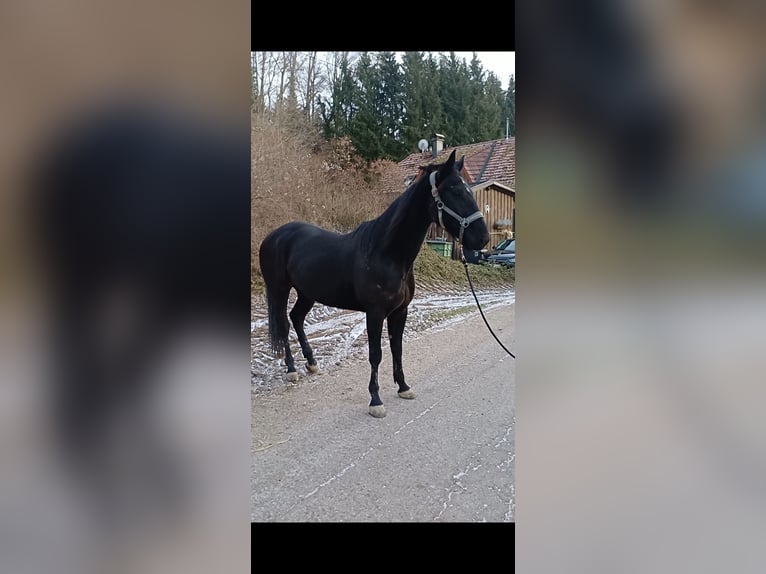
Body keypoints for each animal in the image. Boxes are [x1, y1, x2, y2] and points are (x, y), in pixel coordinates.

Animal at [260, 151, 492, 416]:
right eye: (454, 191)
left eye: (469, 190)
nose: (483, 238)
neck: (386, 253)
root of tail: (273, 236)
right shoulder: (375, 312)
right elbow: (376, 354)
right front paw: (376, 400)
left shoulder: (400, 311)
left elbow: (397, 349)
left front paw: (403, 387)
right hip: (279, 289)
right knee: (283, 324)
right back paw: (291, 370)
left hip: (307, 292)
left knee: (296, 317)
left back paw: (311, 363)